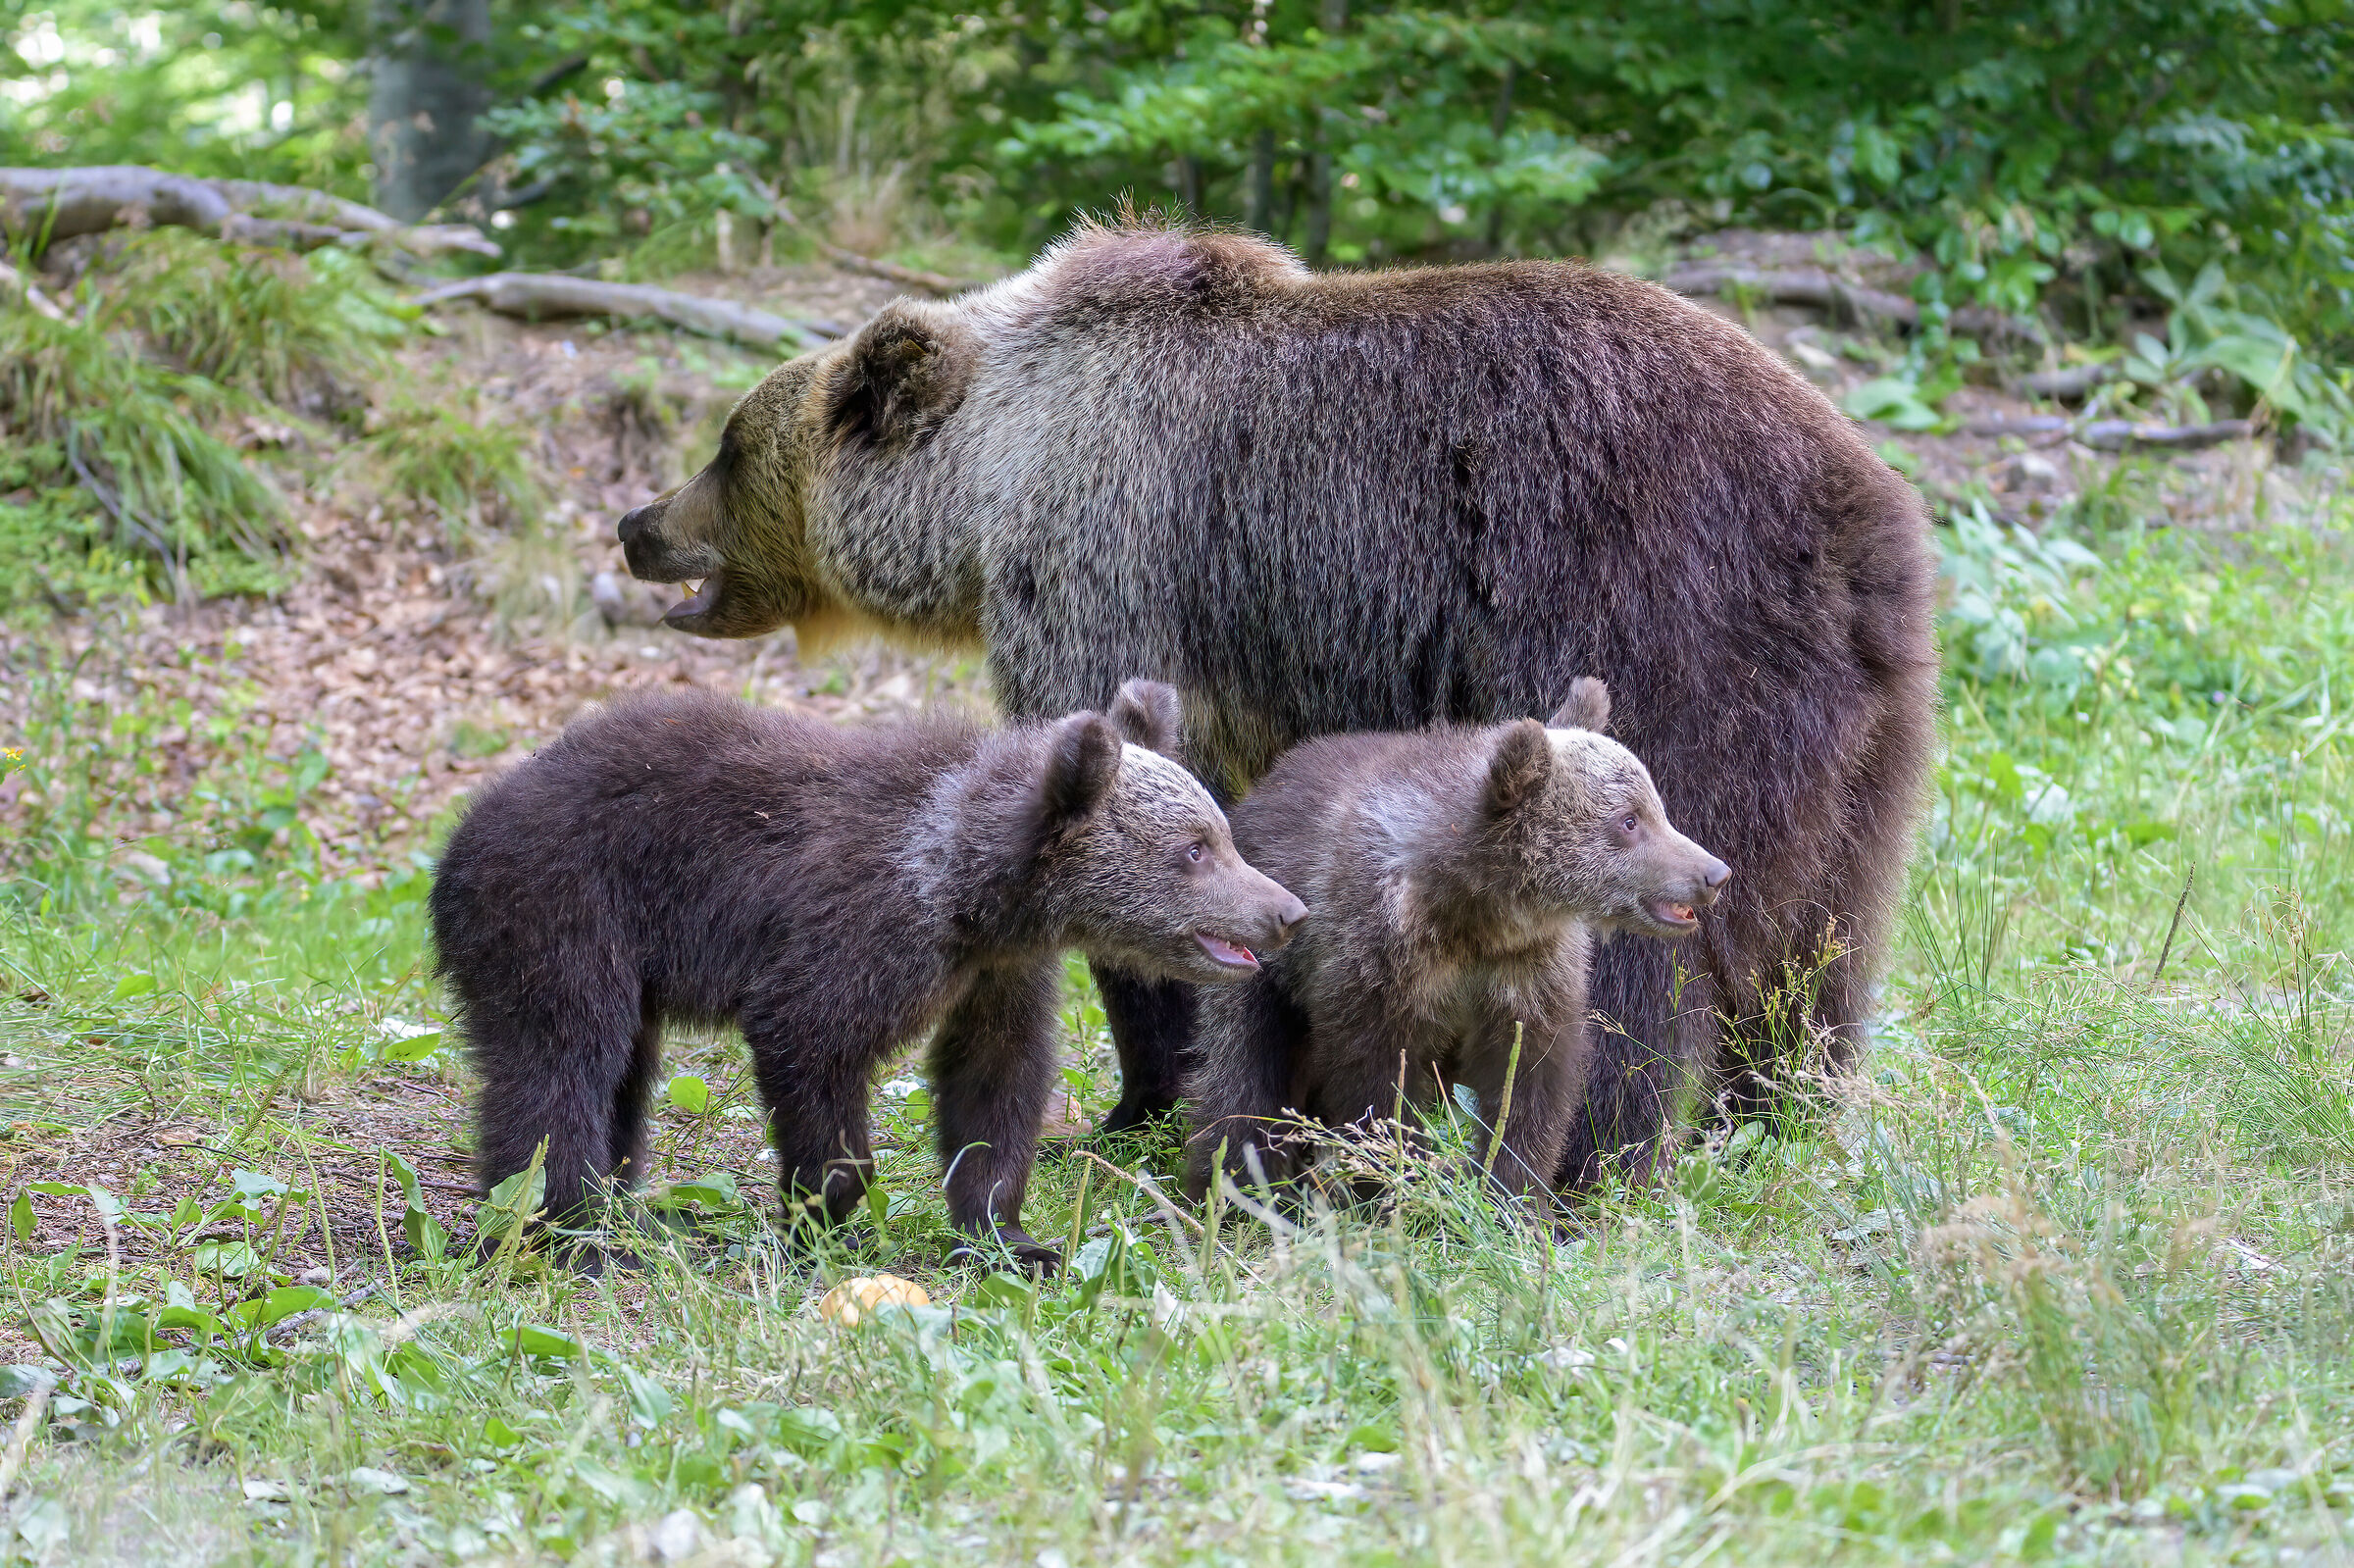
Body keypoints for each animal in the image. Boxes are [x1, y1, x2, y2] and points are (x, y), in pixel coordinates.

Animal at [426, 680, 1306, 1271]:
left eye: (1221, 833)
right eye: (1195, 849)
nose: (1287, 909)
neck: (964, 885)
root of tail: (460, 836)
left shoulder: (995, 972)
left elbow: (996, 1077)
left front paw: (1010, 1235)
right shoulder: (857, 931)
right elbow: (812, 1042)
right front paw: (820, 1212)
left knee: (623, 1078)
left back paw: (626, 1211)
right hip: (564, 909)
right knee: (561, 1062)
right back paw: (570, 1230)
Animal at [1183, 678, 1729, 1212]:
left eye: (1656, 807)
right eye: (1629, 820)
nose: (1714, 873)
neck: (1476, 908)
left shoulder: (1529, 970)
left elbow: (1529, 1084)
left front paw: (1512, 1196)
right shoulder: (1378, 958)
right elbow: (1380, 1085)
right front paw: (1399, 1184)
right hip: (1255, 964)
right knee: (1242, 1077)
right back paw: (1235, 1187)